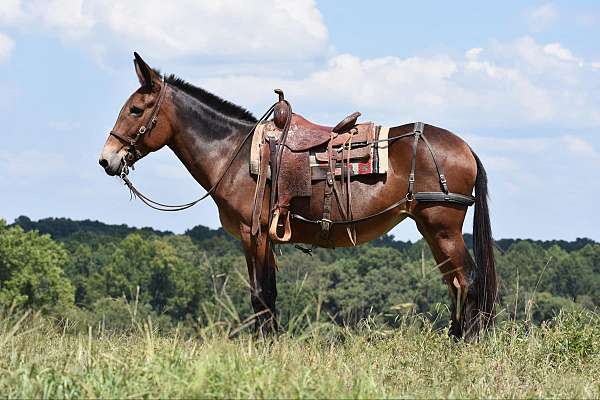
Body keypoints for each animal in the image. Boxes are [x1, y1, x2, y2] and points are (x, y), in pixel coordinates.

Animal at [101, 53, 500, 340]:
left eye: (135, 110)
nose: (107, 159)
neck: (235, 153)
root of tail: (465, 148)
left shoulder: (254, 235)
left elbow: (262, 295)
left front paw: (264, 347)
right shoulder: (260, 238)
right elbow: (267, 295)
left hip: (442, 228)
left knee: (468, 282)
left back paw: (467, 344)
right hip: (432, 229)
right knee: (456, 284)